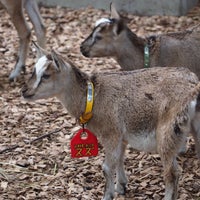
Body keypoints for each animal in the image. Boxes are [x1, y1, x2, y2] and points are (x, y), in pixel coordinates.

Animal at [21, 45, 200, 200]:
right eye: (34, 71)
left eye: (46, 75)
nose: (24, 91)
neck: (92, 97)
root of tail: (193, 89)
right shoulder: (121, 135)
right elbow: (119, 158)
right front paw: (121, 186)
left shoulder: (110, 132)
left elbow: (107, 167)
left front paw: (107, 195)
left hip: (167, 130)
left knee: (172, 172)